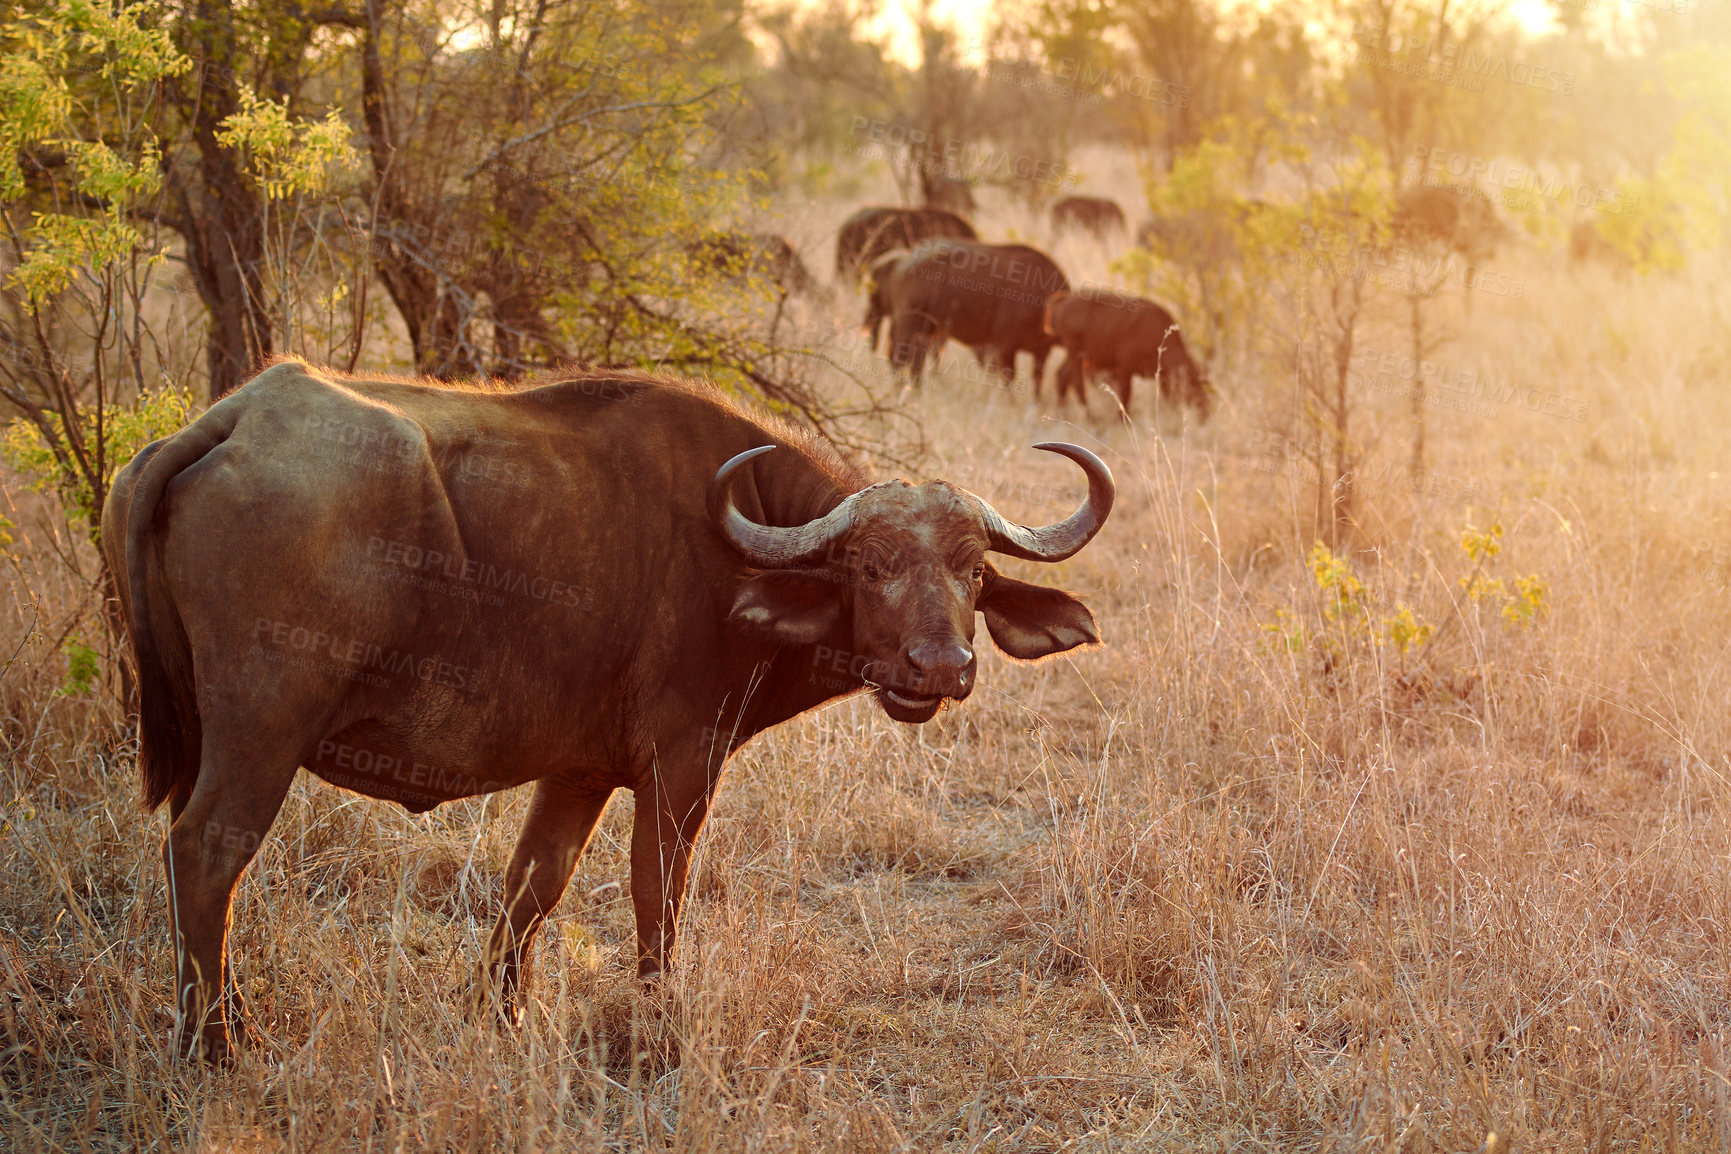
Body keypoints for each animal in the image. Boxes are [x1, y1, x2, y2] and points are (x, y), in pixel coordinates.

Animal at [108, 361, 1114, 1065]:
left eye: (972, 571)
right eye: (869, 567)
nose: (939, 668)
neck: (736, 545)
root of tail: (230, 419)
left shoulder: (577, 771)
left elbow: (532, 886)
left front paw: (503, 1015)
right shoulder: (682, 762)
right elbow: (656, 894)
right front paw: (658, 1028)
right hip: (261, 733)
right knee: (206, 854)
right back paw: (217, 1042)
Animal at [879, 240, 1066, 392]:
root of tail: (903, 259)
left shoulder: (1042, 352)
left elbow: (1038, 382)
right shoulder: (1005, 345)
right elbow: (1007, 379)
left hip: (928, 329)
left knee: (915, 361)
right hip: (910, 323)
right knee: (900, 358)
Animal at [1038, 287, 1218, 422]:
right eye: (1193, 385)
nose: (1206, 412)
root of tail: (1066, 299)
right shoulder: (1124, 369)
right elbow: (1125, 395)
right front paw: (1122, 420)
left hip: (1076, 356)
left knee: (1062, 376)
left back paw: (1063, 413)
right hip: (1076, 354)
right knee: (1077, 383)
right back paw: (1090, 417)